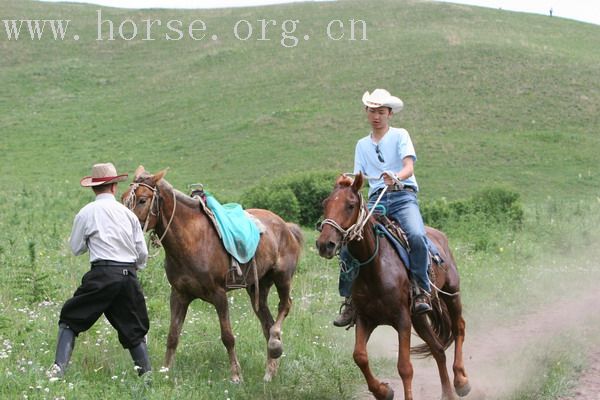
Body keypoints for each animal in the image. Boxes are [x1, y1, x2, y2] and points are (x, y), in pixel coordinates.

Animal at [122, 166, 302, 382]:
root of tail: (286, 227)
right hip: (258, 289)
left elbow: (228, 337)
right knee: (267, 324)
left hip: (282, 278)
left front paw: (236, 375)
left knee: (284, 307)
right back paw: (270, 371)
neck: (193, 240)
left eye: (142, 200)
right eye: (123, 197)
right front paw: (165, 371)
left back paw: (275, 347)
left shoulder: (219, 295)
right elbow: (173, 335)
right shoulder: (179, 295)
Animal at [314, 174, 468, 400]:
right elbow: (360, 356)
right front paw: (383, 391)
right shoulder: (365, 318)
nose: (325, 244)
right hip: (419, 317)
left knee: (459, 328)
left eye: (350, 205)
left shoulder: (402, 319)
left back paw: (461, 381)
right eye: (325, 204)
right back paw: (447, 393)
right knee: (438, 349)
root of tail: (441, 238)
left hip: (451, 294)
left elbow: (405, 367)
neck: (374, 268)